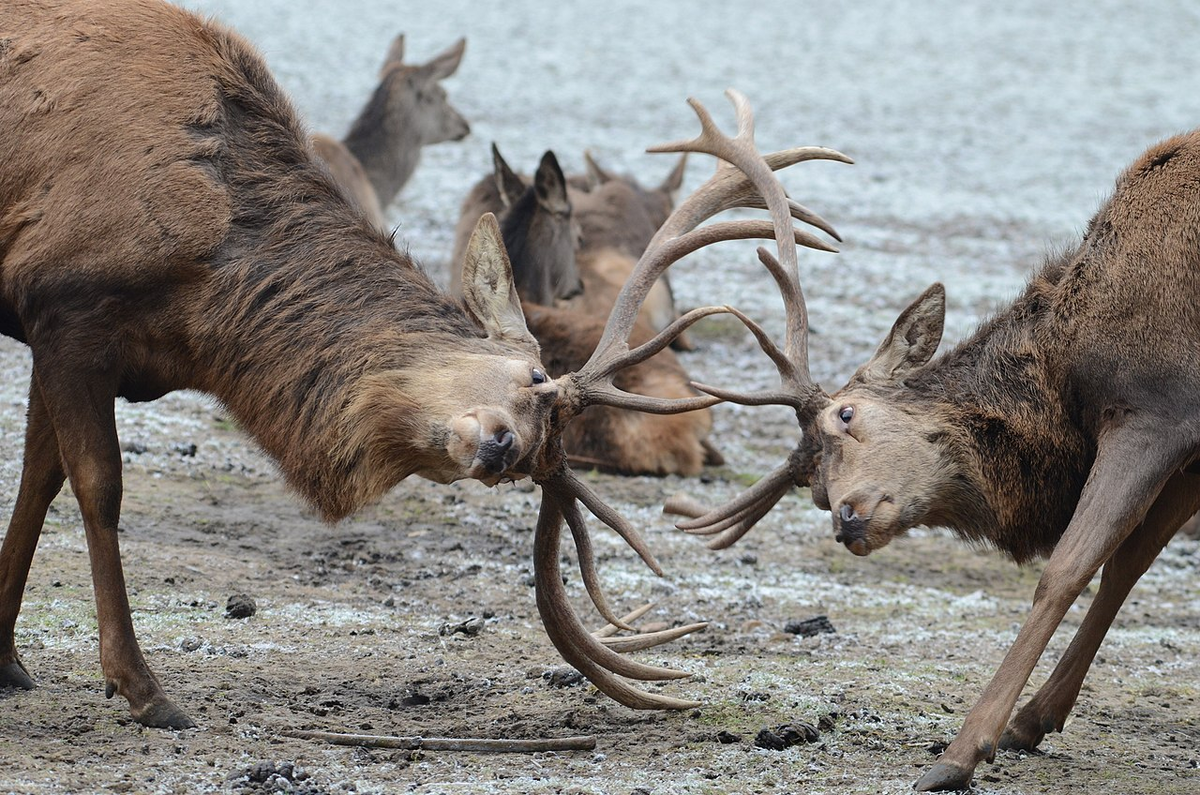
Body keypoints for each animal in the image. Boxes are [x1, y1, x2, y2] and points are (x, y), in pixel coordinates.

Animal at [672, 130, 1200, 792]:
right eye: (815, 489)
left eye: (845, 415)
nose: (846, 518)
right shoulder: (1190, 451)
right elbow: (1126, 567)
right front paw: (1034, 720)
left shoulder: (1157, 411)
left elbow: (1067, 570)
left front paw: (963, 751)